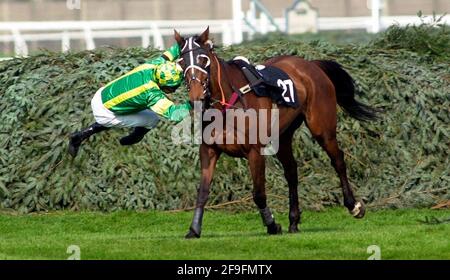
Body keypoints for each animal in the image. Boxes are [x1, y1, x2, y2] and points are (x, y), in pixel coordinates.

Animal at [174, 27, 378, 238]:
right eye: (181, 62)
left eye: (203, 59)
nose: (196, 96)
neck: (228, 101)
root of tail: (311, 64)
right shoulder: (209, 149)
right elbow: (203, 192)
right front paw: (194, 229)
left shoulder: (254, 151)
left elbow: (258, 193)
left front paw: (272, 225)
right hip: (283, 136)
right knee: (292, 171)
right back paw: (294, 220)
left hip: (322, 128)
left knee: (338, 160)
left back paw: (354, 206)